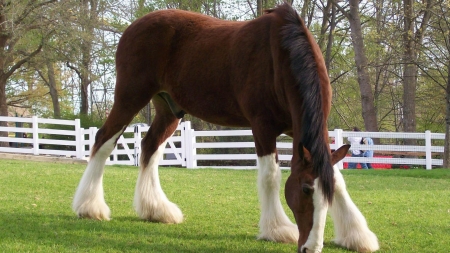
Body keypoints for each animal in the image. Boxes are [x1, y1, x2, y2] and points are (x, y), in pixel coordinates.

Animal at [73, 2, 380, 253]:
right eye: (305, 190)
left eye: (326, 196)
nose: (310, 248)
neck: (281, 56)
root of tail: (134, 26)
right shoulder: (263, 127)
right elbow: (270, 176)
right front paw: (277, 229)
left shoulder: (303, 133)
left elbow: (337, 178)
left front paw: (357, 236)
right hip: (130, 95)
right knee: (103, 140)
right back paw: (89, 207)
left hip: (169, 108)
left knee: (150, 147)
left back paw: (156, 210)